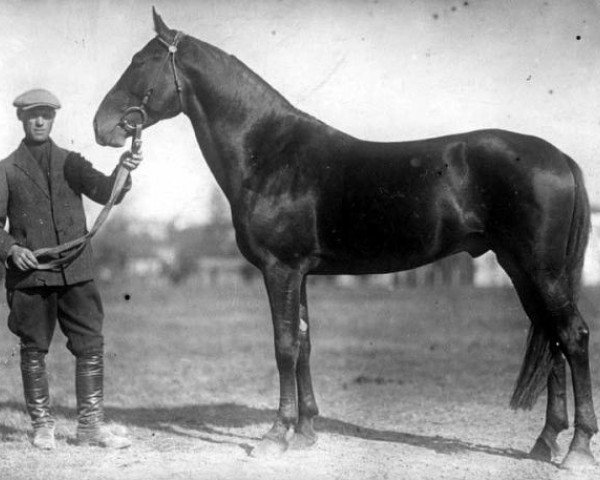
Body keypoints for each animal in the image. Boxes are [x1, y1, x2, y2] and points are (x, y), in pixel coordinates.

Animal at [92, 10, 596, 468]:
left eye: (142, 62)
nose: (102, 126)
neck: (270, 152)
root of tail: (560, 157)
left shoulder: (280, 269)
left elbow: (284, 346)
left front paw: (275, 436)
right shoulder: (300, 272)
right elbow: (304, 343)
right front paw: (305, 431)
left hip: (541, 270)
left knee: (572, 336)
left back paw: (578, 449)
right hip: (521, 268)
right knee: (552, 340)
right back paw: (544, 443)